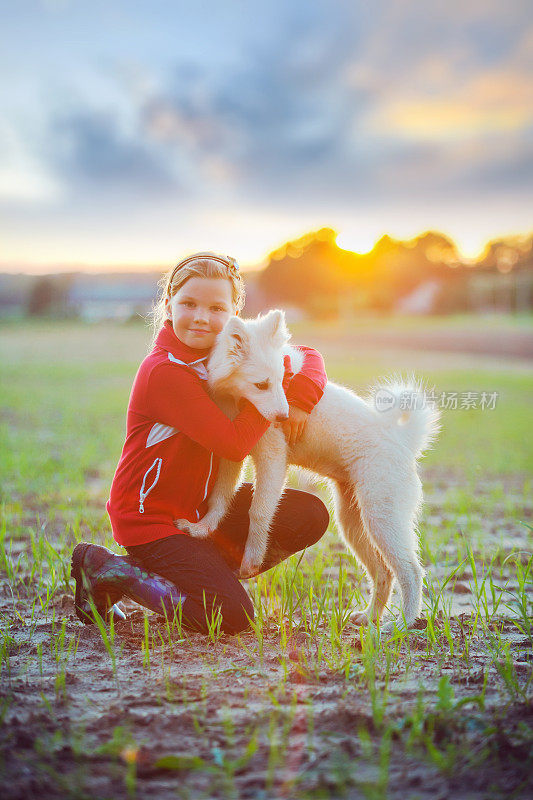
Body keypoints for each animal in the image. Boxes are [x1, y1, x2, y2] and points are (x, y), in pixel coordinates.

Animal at [177, 310, 438, 628]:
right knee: (384, 572)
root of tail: (404, 441)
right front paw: (203, 528)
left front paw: (251, 560)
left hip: (382, 517)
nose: (285, 416)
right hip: (353, 524)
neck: (239, 400)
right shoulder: (232, 455)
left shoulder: (272, 458)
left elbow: (259, 510)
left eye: (283, 379)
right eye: (261, 385)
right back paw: (369, 617)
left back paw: (404, 623)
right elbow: (220, 497)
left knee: (411, 570)